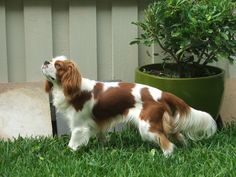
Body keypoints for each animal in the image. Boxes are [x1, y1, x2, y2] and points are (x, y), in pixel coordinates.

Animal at [41, 55, 217, 156]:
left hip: (147, 126)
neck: (73, 88)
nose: (45, 61)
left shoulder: (79, 126)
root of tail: (162, 93)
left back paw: (167, 157)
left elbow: (72, 143)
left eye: (58, 65)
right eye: (52, 60)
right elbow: (101, 136)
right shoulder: (97, 124)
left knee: (167, 143)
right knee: (178, 135)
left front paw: (67, 153)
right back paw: (185, 149)